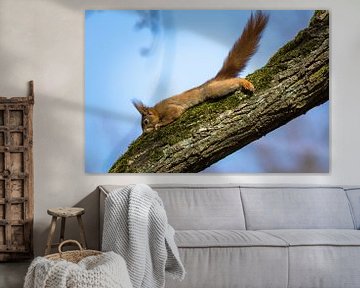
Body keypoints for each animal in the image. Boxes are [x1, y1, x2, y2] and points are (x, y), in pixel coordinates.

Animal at [134, 10, 268, 133]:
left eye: (145, 122)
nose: (144, 132)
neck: (157, 111)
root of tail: (214, 80)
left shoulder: (169, 108)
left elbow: (173, 115)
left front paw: (160, 124)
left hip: (212, 90)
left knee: (233, 82)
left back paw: (244, 83)